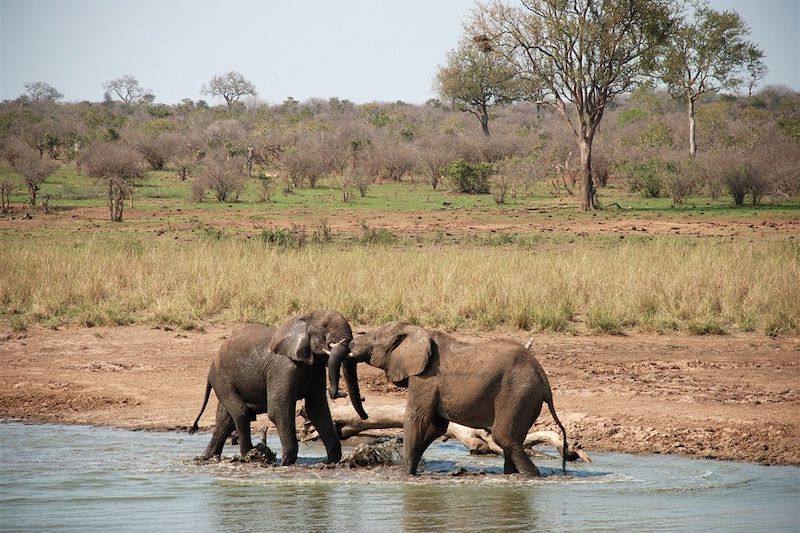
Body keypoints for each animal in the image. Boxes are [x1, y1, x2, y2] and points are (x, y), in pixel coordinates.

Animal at [189, 310, 368, 464]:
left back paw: (207, 457)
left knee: (225, 419)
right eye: (324, 325)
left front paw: (332, 461)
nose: (334, 393)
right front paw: (285, 463)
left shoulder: (315, 369)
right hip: (222, 378)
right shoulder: (283, 368)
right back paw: (250, 455)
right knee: (241, 413)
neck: (302, 319)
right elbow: (278, 410)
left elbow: (316, 410)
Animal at [344, 322, 568, 476]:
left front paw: (406, 475)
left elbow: (417, 420)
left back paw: (532, 476)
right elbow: (436, 427)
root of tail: (542, 375)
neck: (419, 332)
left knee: (505, 439)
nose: (349, 343)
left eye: (373, 338)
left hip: (517, 394)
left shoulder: (426, 378)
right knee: (510, 443)